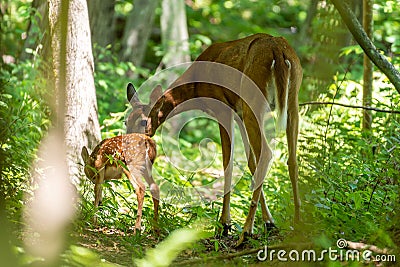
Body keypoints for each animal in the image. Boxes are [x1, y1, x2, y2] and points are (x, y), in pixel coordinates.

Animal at [126, 33, 302, 245]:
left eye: (143, 122)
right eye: (126, 121)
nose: (126, 144)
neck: (196, 86)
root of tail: (277, 50)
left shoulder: (223, 109)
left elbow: (228, 164)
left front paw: (225, 225)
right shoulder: (238, 114)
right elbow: (250, 163)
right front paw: (269, 222)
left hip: (254, 101)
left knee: (267, 154)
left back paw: (246, 232)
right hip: (292, 100)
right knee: (291, 159)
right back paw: (299, 222)